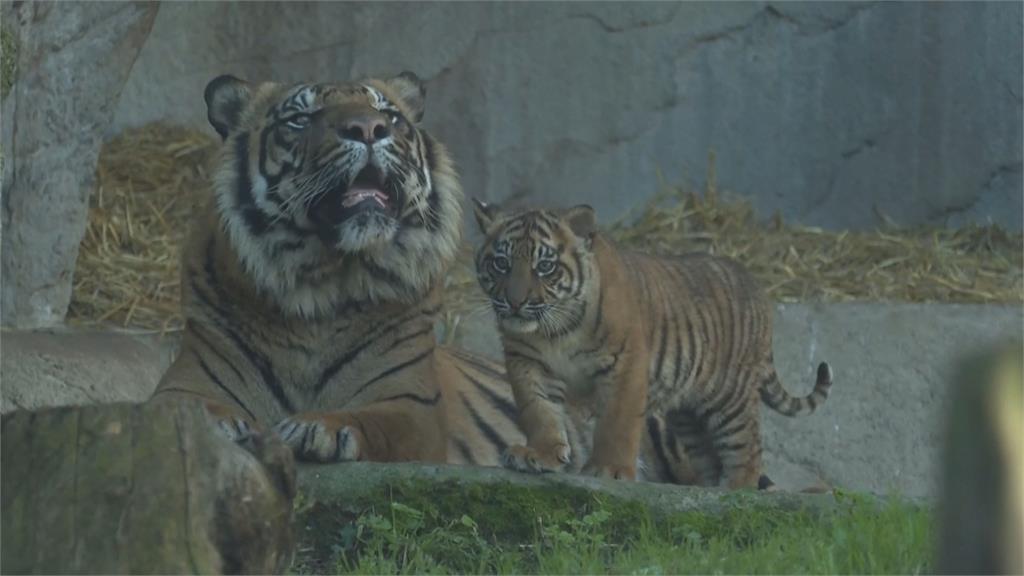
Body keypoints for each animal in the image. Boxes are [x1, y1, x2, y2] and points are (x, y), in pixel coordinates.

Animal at [154, 71, 524, 463]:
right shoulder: (182, 383)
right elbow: (182, 406)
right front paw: (219, 425)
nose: (369, 129)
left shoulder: (411, 404)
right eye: (301, 118)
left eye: (389, 115)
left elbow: (375, 421)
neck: (322, 283)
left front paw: (318, 427)